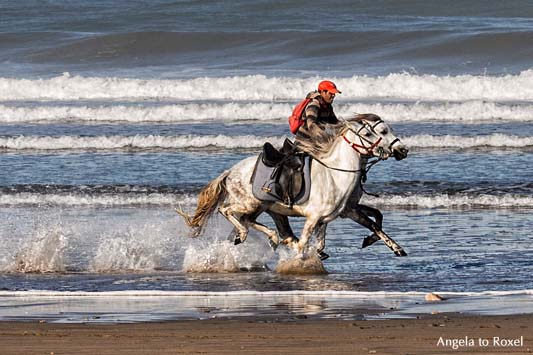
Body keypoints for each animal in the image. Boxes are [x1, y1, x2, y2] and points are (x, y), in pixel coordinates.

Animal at [178, 115, 408, 258]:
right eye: (374, 133)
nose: (402, 150)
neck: (336, 174)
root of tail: (229, 172)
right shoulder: (314, 218)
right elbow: (305, 243)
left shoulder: (341, 212)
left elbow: (374, 223)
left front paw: (396, 248)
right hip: (249, 204)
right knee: (227, 211)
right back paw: (246, 236)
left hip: (266, 209)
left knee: (250, 222)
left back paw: (266, 239)